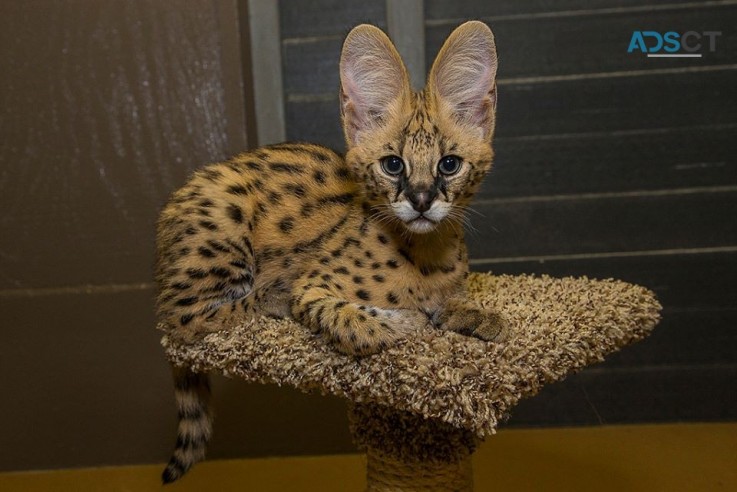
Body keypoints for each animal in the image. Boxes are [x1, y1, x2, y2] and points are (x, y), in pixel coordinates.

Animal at [160, 21, 506, 482]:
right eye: (393, 164)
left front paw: (477, 315)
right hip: (223, 216)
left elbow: (453, 302)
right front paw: (407, 322)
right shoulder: (314, 286)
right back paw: (269, 300)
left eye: (448, 164)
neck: (425, 252)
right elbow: (356, 322)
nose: (420, 200)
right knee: (181, 319)